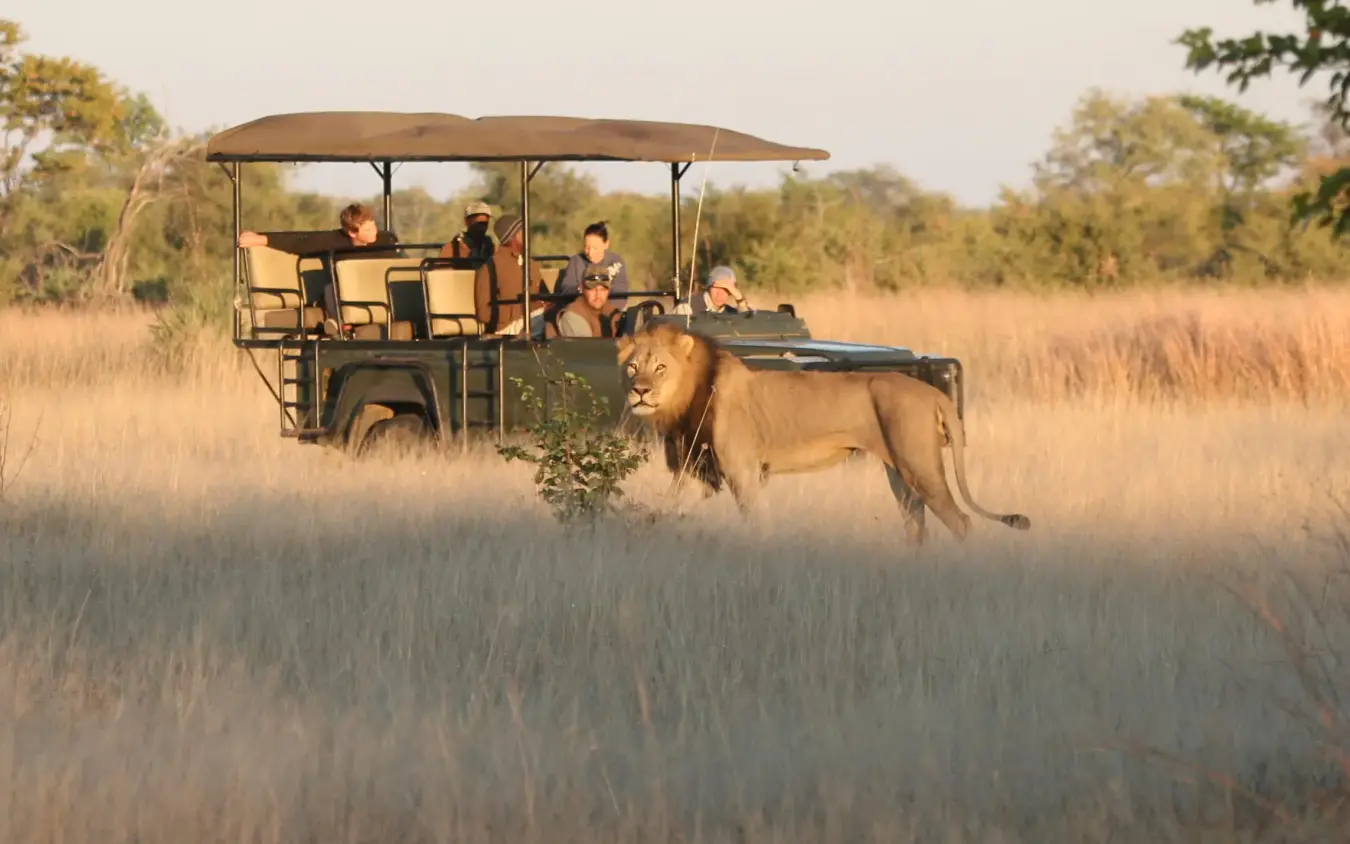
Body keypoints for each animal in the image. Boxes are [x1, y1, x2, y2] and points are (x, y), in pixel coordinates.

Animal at [615, 321, 1030, 545]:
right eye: (633, 366)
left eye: (661, 368)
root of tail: (931, 391)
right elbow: (664, 509)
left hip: (920, 466)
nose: (639, 391)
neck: (686, 399)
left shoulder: (741, 471)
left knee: (960, 521)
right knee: (916, 524)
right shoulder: (696, 472)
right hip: (899, 472)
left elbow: (755, 522)